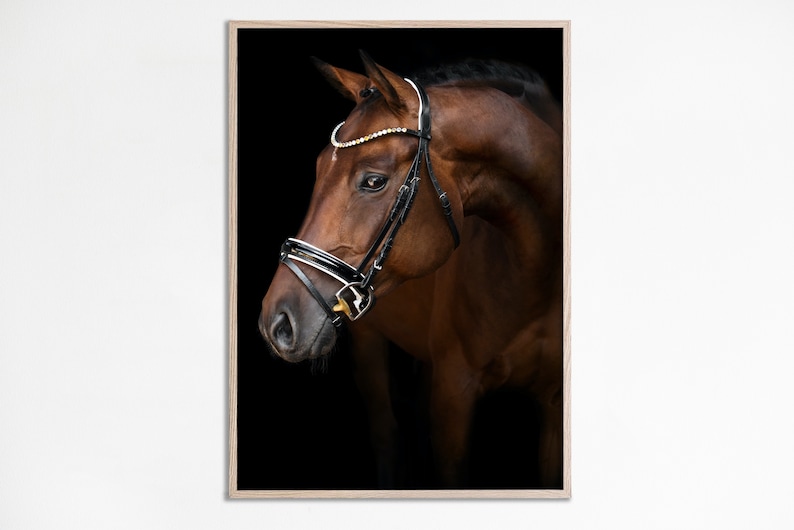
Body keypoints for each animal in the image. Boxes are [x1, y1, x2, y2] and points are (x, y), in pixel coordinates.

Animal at [259, 50, 564, 489]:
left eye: (373, 181)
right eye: (317, 170)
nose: (277, 323)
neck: (536, 275)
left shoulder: (552, 406)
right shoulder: (454, 393)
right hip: (368, 341)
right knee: (387, 435)